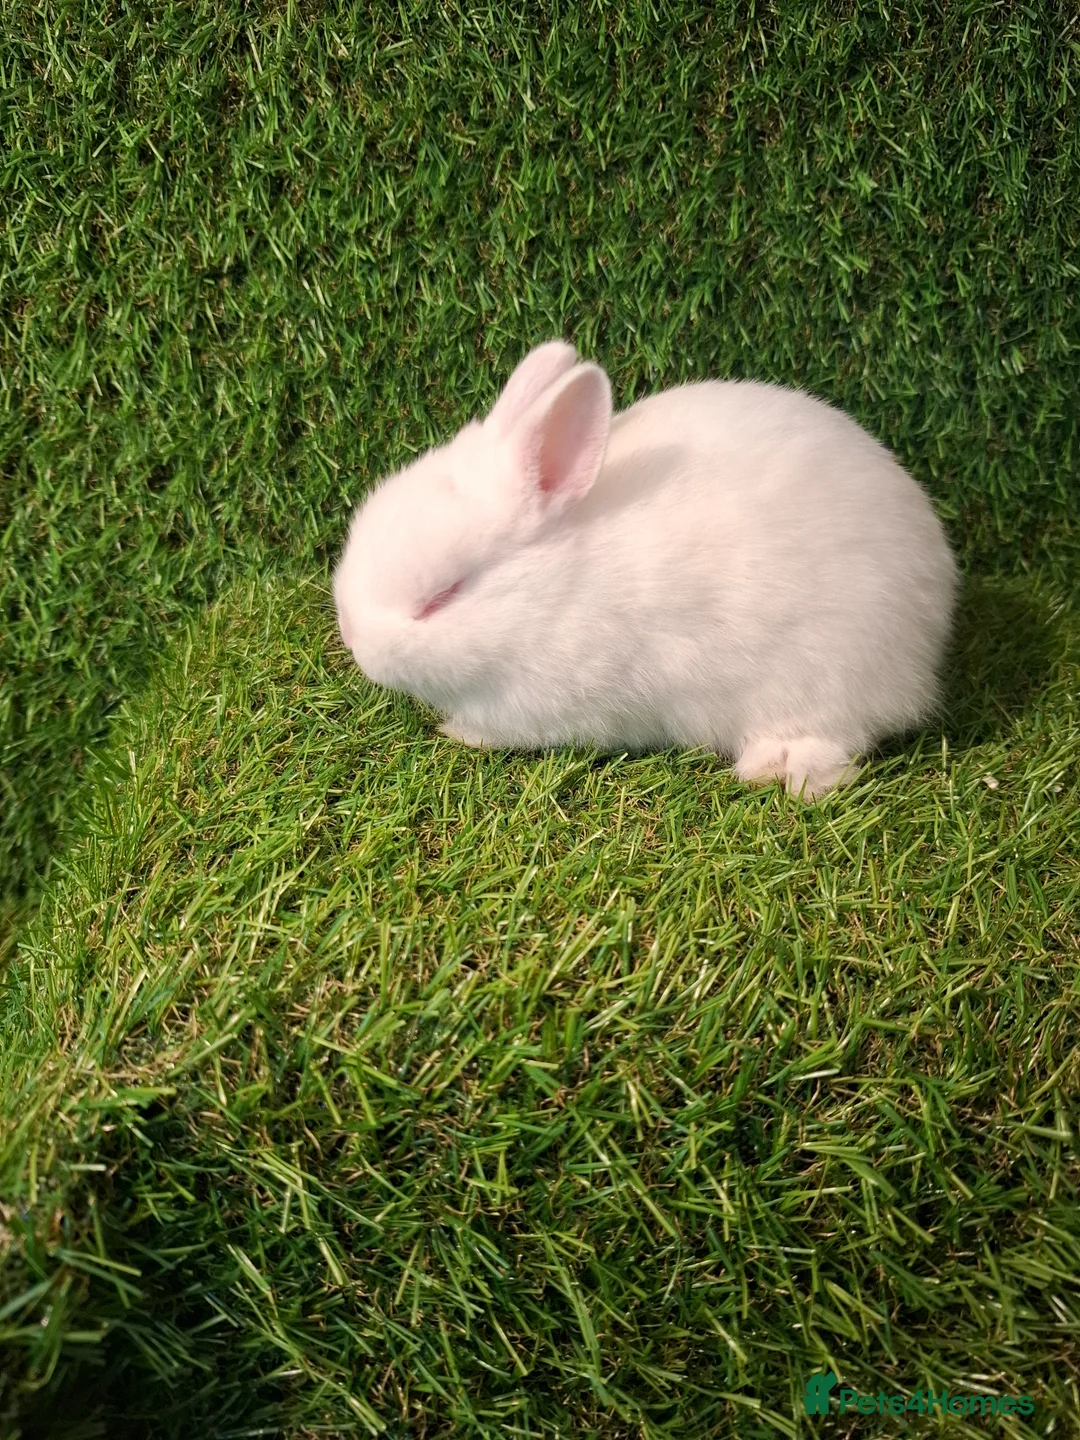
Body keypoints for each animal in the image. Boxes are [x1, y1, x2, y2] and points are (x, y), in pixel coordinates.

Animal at [333, 340, 958, 799]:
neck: (555, 588)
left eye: (443, 596)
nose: (354, 642)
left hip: (833, 673)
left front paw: (455, 732)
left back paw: (776, 766)